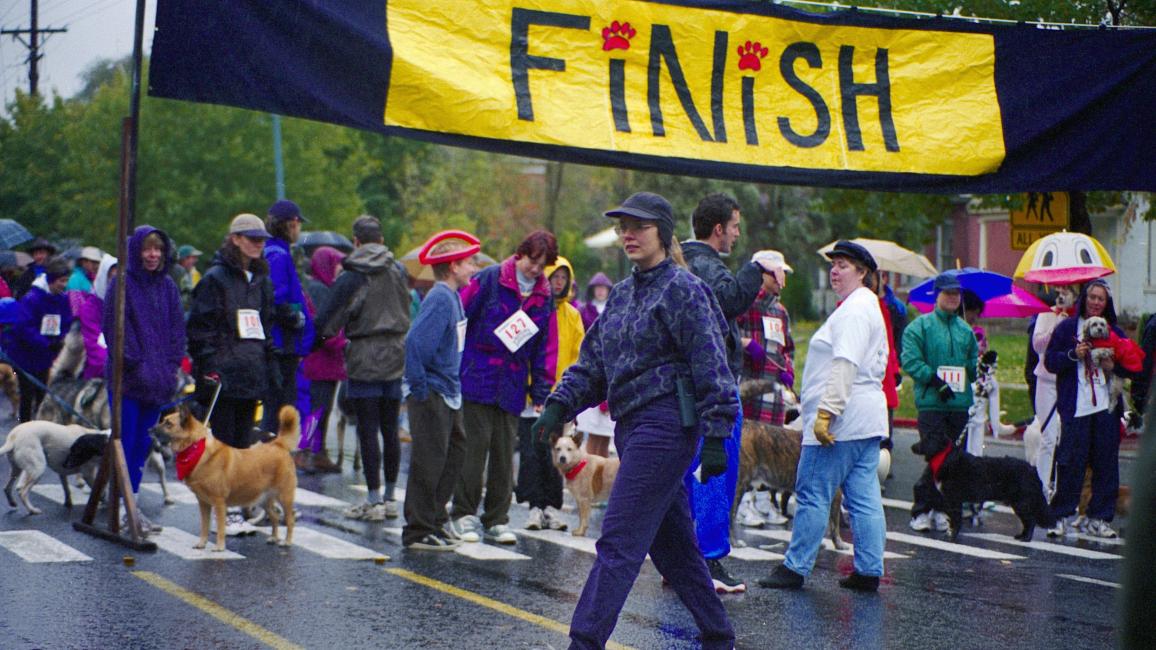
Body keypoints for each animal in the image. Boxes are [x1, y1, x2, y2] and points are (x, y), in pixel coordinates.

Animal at [149, 404, 300, 545]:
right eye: (163, 420)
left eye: (168, 423)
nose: (149, 430)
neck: (195, 447)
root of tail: (278, 444)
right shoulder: (203, 502)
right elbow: (204, 526)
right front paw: (202, 544)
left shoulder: (219, 502)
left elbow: (220, 528)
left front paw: (218, 548)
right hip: (263, 499)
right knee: (275, 516)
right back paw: (274, 537)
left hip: (284, 497)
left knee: (290, 519)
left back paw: (287, 541)